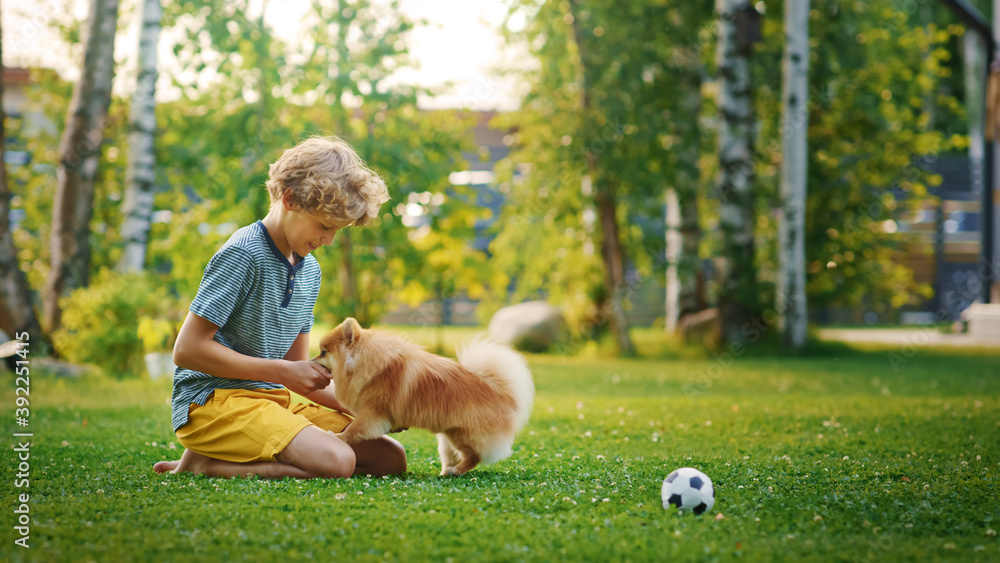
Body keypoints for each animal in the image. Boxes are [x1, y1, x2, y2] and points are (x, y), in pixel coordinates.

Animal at [312, 318, 536, 476]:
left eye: (323, 352)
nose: (311, 359)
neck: (365, 362)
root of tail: (502, 392)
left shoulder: (373, 412)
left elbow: (354, 429)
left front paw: (338, 437)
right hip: (447, 438)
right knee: (454, 456)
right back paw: (446, 472)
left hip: (464, 436)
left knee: (475, 456)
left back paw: (455, 471)